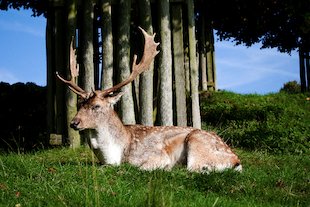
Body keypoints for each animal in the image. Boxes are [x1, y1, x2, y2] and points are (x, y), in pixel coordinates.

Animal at [56, 27, 242, 173]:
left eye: (96, 106)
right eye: (80, 104)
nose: (74, 122)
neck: (116, 155)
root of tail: (236, 161)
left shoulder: (156, 155)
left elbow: (139, 167)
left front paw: (163, 167)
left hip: (197, 142)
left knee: (194, 168)